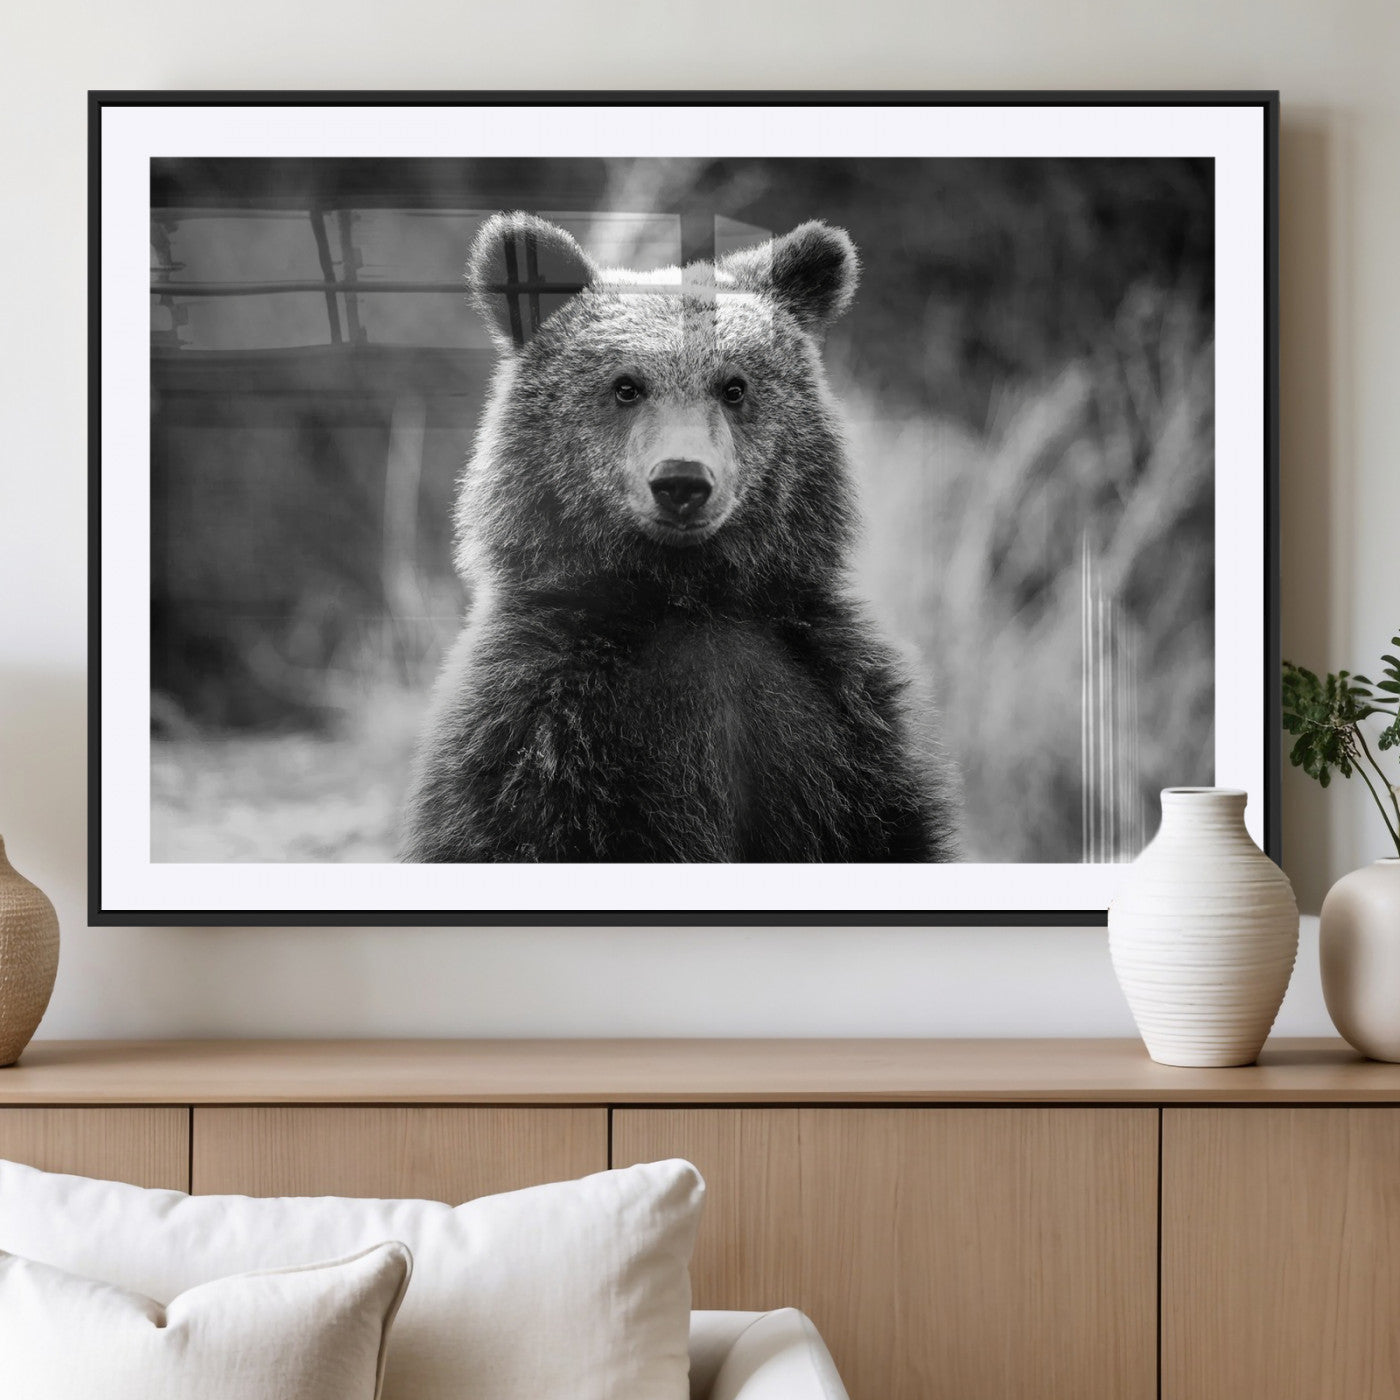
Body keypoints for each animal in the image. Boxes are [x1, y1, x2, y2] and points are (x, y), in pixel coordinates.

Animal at [401, 212, 958, 863]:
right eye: (626, 386)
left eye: (734, 386)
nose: (682, 480)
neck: (688, 597)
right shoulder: (536, 726)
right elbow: (508, 828)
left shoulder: (843, 720)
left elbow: (890, 829)